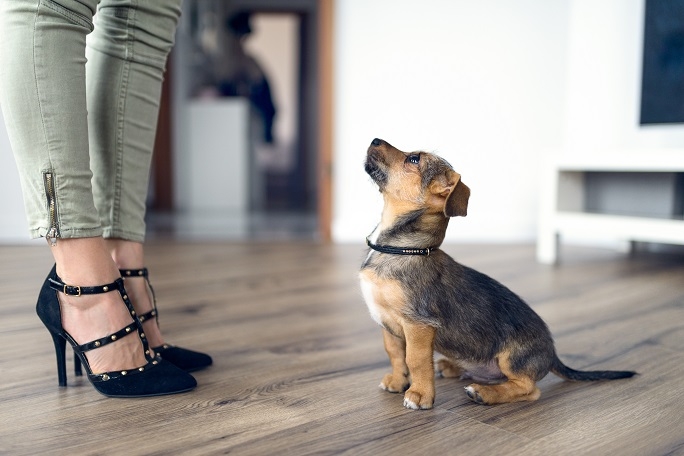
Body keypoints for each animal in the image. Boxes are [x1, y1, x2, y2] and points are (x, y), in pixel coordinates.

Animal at [358, 137, 636, 408]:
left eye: (414, 159)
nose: (374, 139)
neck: (401, 250)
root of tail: (553, 355)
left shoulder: (419, 324)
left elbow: (415, 360)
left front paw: (420, 395)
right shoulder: (387, 322)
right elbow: (395, 353)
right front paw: (398, 381)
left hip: (511, 358)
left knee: (529, 389)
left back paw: (484, 393)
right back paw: (452, 367)